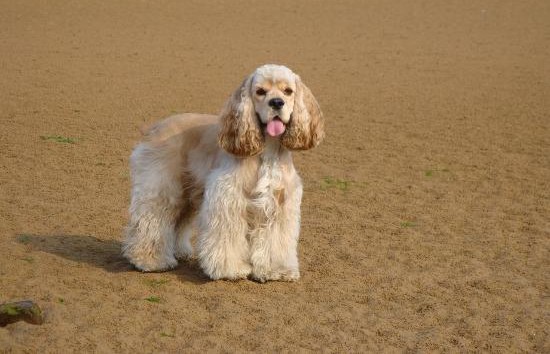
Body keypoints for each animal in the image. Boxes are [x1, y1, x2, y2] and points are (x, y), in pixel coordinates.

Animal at [123, 65, 326, 282]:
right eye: (260, 91)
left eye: (288, 91)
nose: (277, 103)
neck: (268, 150)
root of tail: (154, 128)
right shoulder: (229, 198)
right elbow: (228, 238)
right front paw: (231, 269)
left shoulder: (279, 204)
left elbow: (275, 240)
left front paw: (276, 270)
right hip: (162, 188)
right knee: (150, 222)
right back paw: (150, 261)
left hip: (188, 193)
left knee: (177, 222)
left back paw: (179, 252)